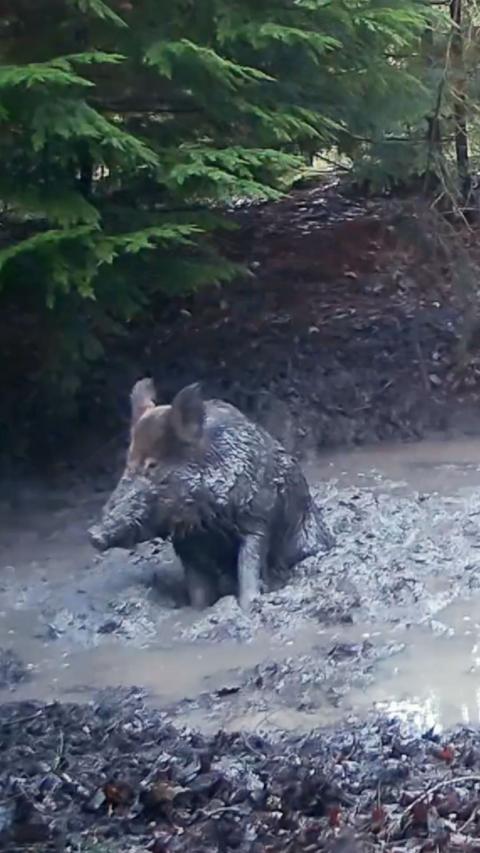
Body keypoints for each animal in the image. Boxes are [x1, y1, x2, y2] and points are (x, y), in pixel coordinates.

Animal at [89, 378, 333, 609]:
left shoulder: (258, 518)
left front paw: (248, 605)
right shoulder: (187, 544)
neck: (207, 522)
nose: (93, 535)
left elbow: (249, 565)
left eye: (152, 465)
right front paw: (198, 610)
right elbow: (198, 589)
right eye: (127, 462)